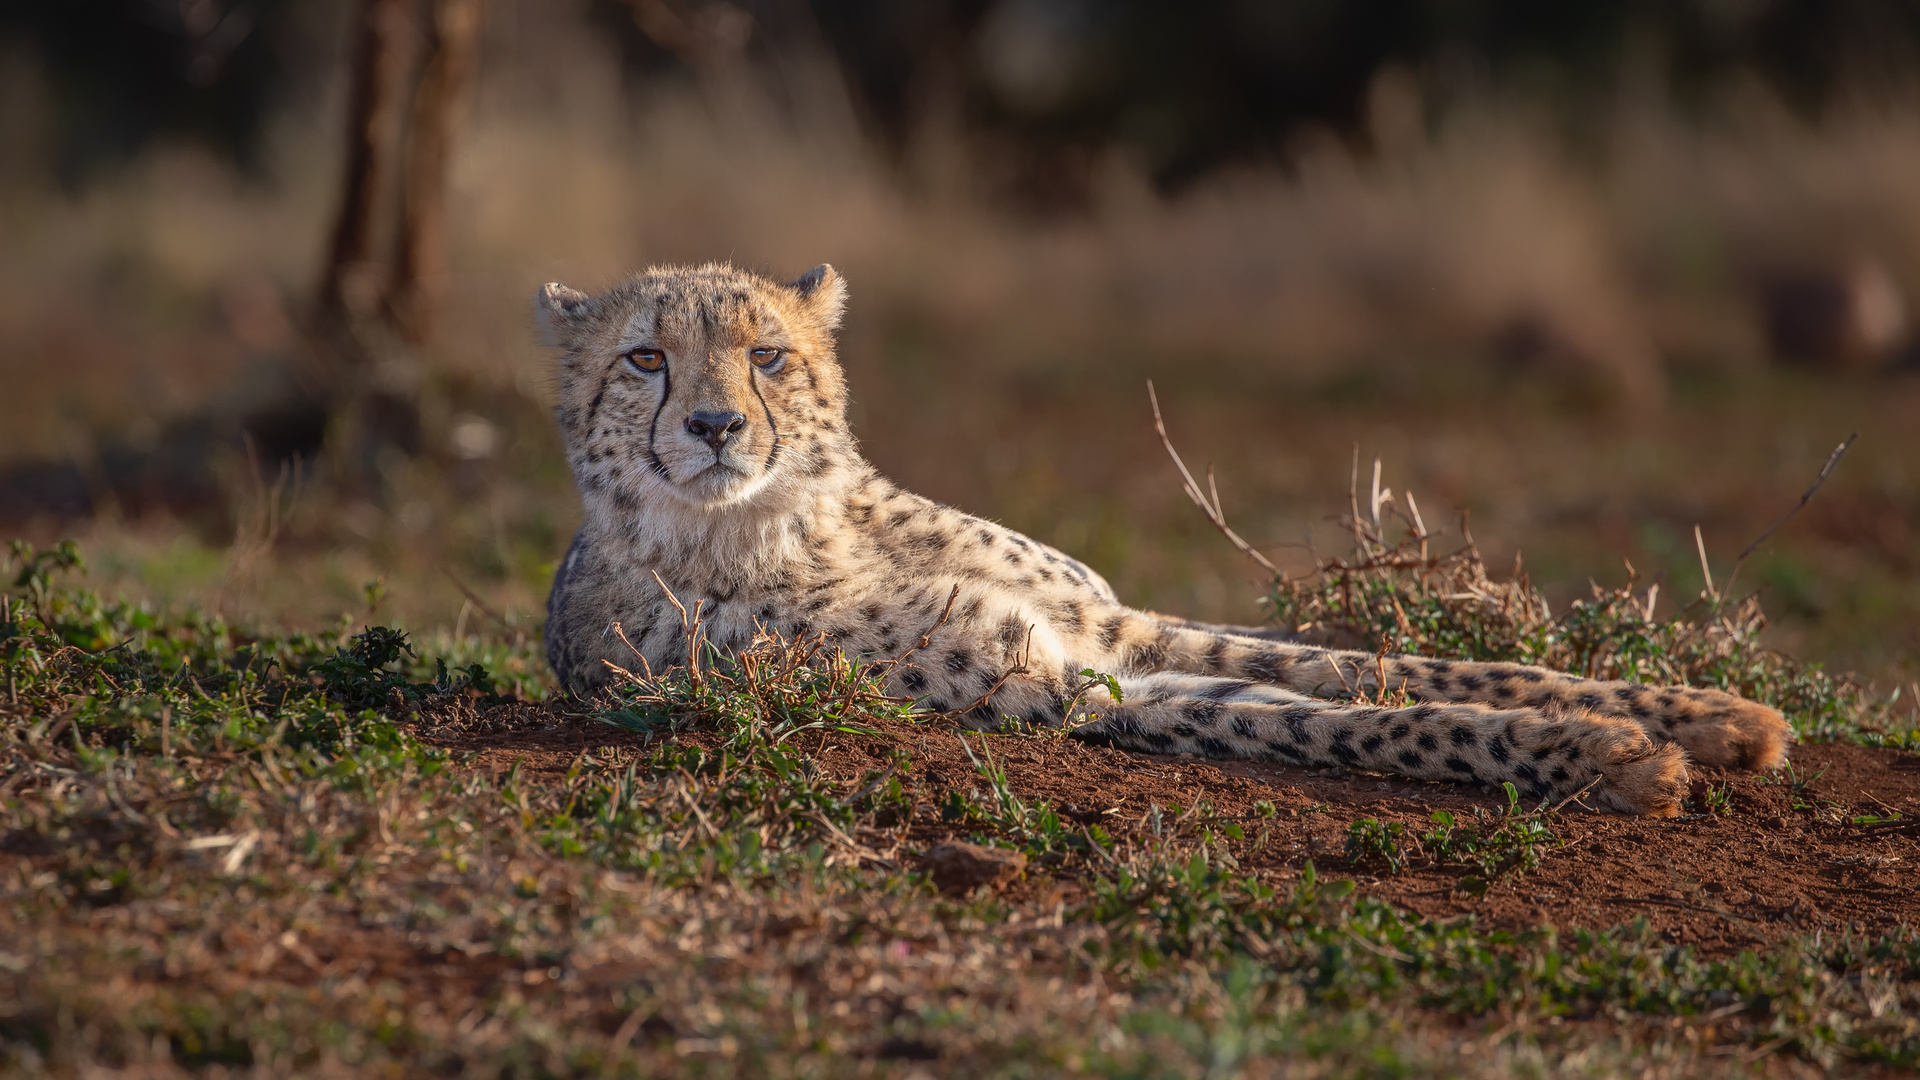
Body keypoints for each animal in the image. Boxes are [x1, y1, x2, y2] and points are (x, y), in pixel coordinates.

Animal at [533, 263, 1789, 814]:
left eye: (769, 356)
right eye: (645, 358)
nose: (715, 426)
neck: (805, 521)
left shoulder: (1111, 623)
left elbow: (1378, 666)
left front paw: (1700, 714)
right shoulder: (1063, 686)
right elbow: (1342, 720)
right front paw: (1602, 756)